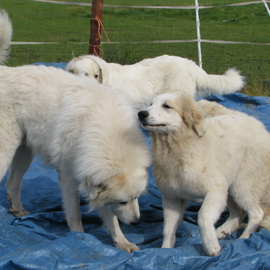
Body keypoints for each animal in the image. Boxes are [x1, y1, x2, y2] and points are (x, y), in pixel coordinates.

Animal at [0, 8, 152, 253]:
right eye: (122, 201)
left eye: (137, 197)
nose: (137, 222)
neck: (106, 131)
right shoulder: (69, 178)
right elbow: (74, 214)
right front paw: (80, 240)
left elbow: (111, 219)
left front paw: (122, 242)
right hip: (5, 152)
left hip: (24, 152)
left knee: (12, 182)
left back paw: (18, 211)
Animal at [138, 93, 270, 258]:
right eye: (150, 104)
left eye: (167, 106)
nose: (141, 114)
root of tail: (259, 125)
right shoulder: (172, 197)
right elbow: (167, 229)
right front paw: (166, 250)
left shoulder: (215, 189)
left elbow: (203, 216)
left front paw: (211, 246)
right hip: (229, 186)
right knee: (237, 215)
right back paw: (222, 231)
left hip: (241, 185)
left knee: (257, 213)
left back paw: (244, 238)